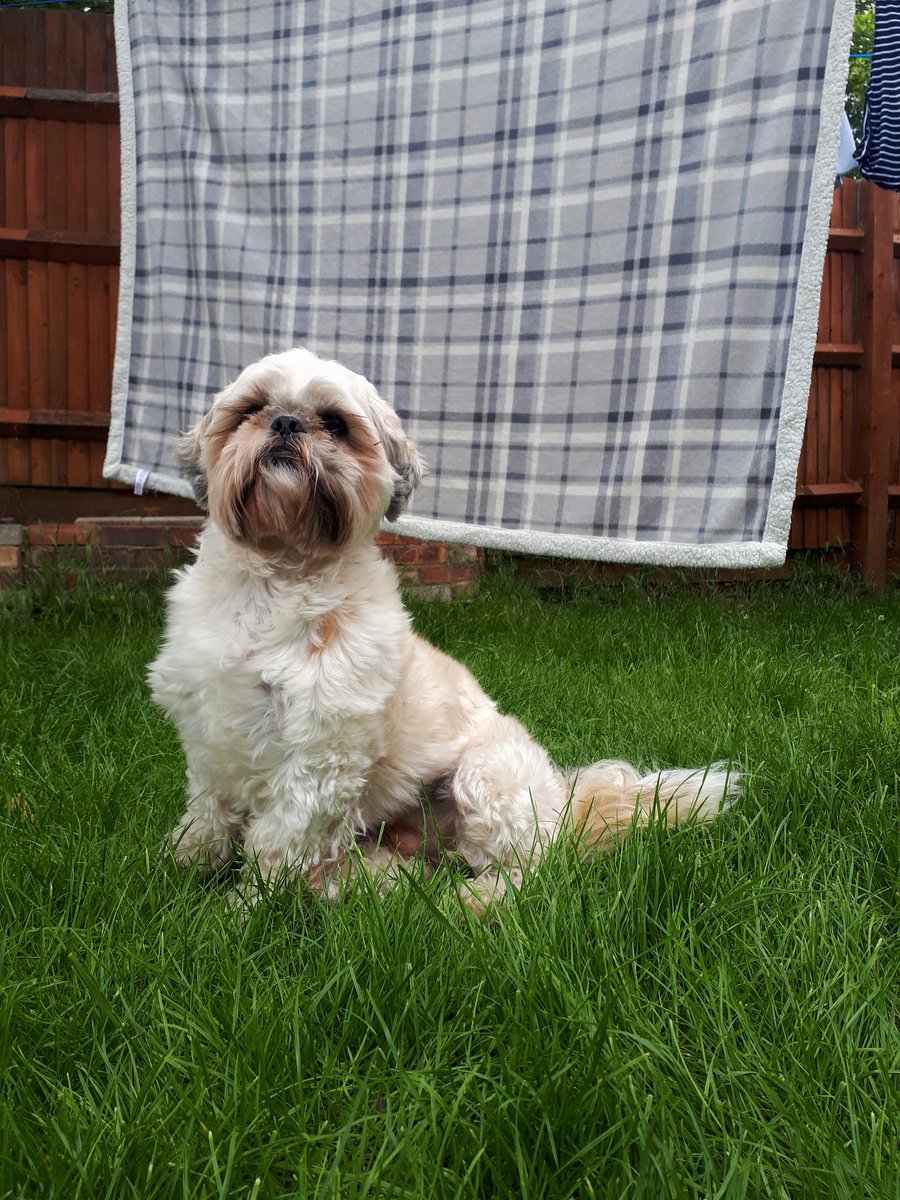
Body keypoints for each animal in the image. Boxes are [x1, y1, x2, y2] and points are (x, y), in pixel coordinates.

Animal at [150, 348, 739, 907]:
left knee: (530, 875)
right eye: (252, 408)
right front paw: (184, 865)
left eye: (335, 424)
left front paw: (241, 907)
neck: (275, 582)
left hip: (486, 776)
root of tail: (561, 802)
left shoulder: (319, 757)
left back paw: (472, 903)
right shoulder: (208, 731)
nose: (287, 422)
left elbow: (276, 841)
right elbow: (207, 810)